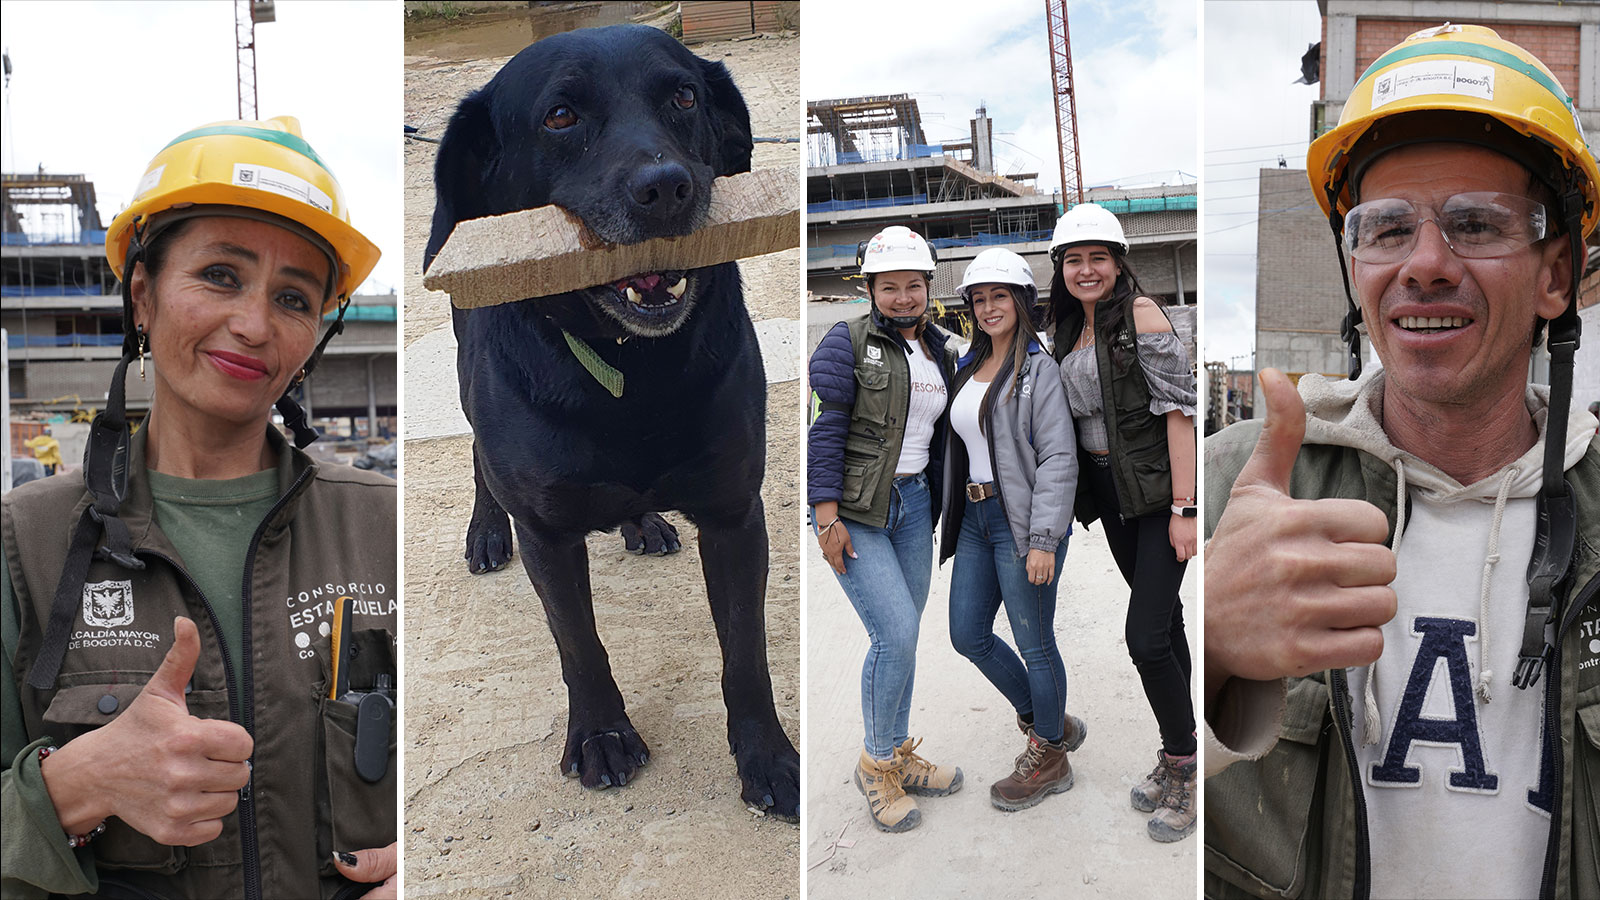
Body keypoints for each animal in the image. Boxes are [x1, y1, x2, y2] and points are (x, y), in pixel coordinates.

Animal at [422, 24, 800, 819]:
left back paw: (641, 520)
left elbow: (745, 652)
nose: (666, 189)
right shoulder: (547, 535)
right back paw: (485, 531)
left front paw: (767, 756)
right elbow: (579, 644)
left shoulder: (735, 515)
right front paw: (600, 734)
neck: (631, 369)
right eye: (560, 116)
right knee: (476, 456)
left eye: (683, 96)